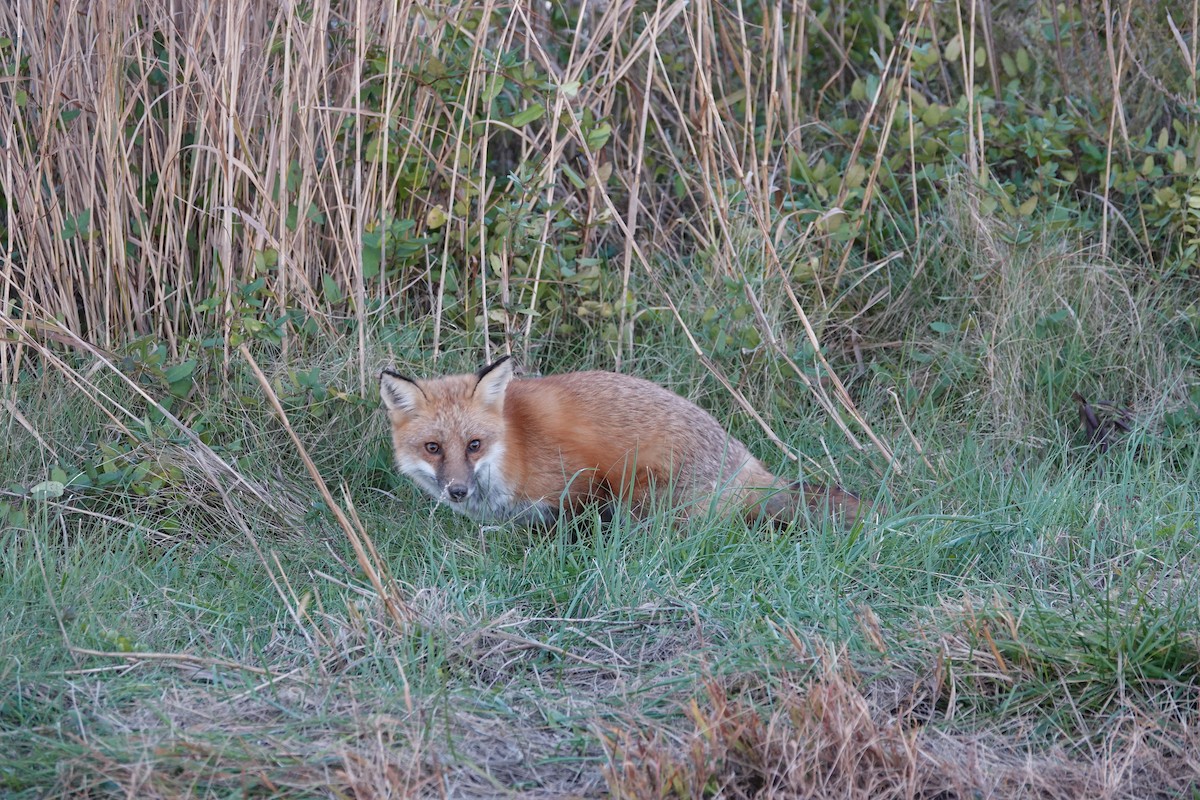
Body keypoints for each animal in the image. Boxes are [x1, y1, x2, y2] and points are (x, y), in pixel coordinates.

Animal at [379, 356, 861, 527]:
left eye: (474, 444)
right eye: (433, 448)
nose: (457, 491)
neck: (514, 448)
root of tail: (751, 468)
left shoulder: (581, 481)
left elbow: (566, 525)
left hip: (640, 487)